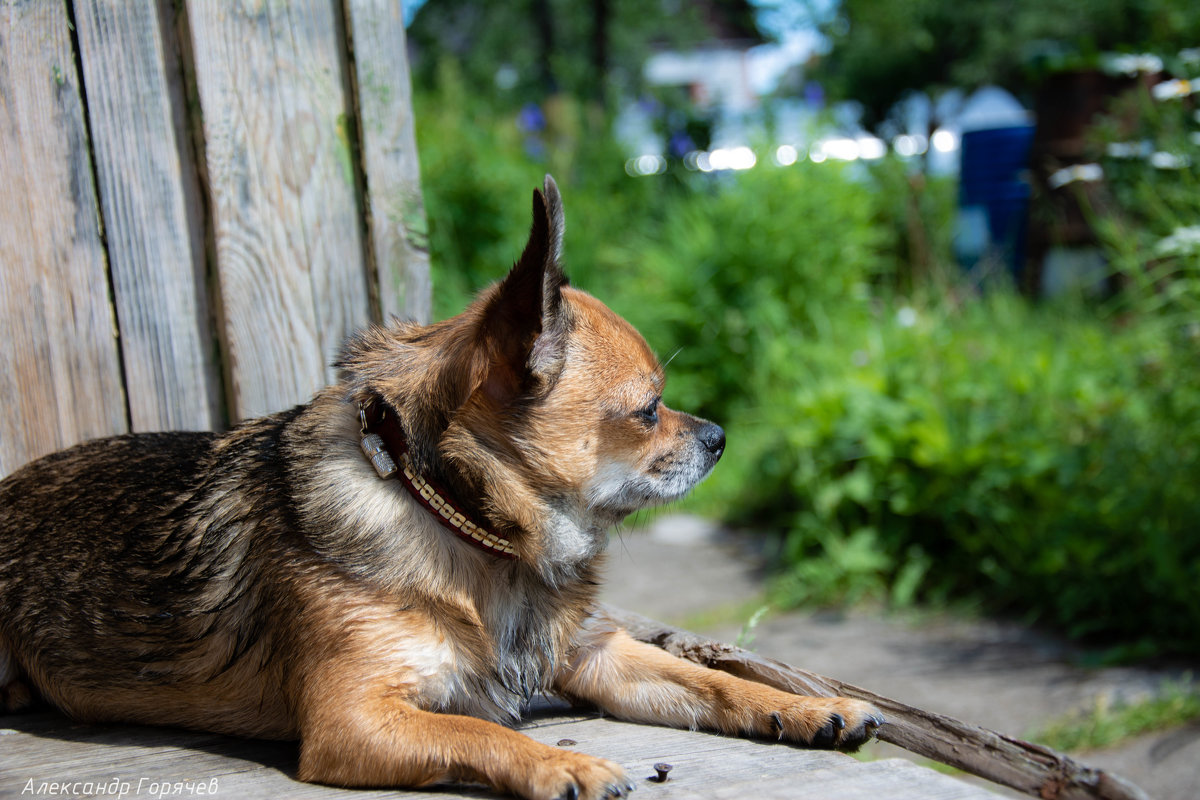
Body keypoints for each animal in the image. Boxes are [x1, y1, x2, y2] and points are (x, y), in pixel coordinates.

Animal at [0, 176, 883, 800]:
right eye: (649, 408)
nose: (721, 436)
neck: (466, 523)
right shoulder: (355, 722)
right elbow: (479, 734)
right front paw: (562, 764)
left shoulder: (600, 658)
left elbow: (712, 681)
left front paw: (814, 708)